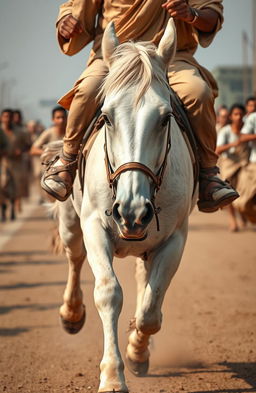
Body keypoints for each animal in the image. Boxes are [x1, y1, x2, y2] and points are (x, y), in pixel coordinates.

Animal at [55, 17, 196, 392]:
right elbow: (108, 294)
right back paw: (71, 314)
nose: (132, 211)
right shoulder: (94, 227)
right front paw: (112, 377)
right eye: (105, 117)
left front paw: (137, 351)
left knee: (145, 283)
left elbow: (150, 310)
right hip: (71, 221)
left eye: (165, 118)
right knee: (74, 257)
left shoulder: (175, 238)